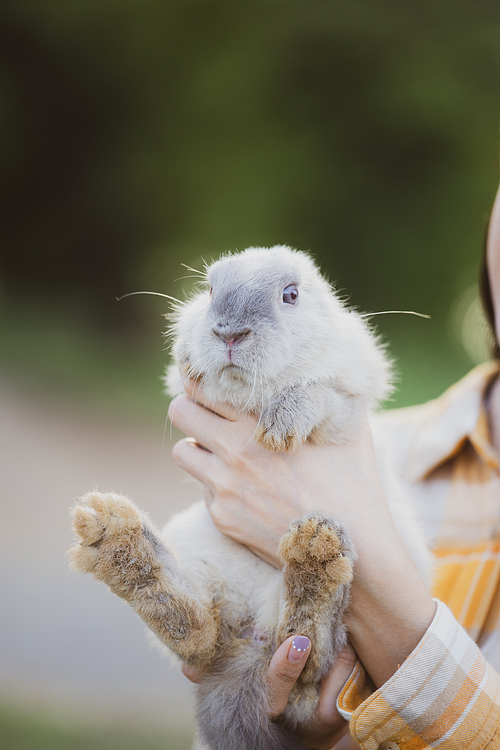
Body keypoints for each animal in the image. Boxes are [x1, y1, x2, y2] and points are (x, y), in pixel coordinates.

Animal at [68, 247, 432, 750]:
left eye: (291, 294)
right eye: (209, 290)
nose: (228, 333)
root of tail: (248, 642)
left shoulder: (348, 399)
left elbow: (317, 394)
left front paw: (279, 428)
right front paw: (190, 360)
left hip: (340, 639)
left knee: (309, 657)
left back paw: (314, 554)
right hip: (201, 558)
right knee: (199, 634)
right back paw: (115, 536)